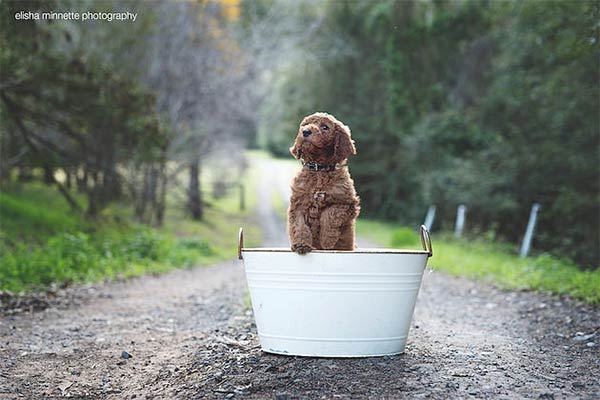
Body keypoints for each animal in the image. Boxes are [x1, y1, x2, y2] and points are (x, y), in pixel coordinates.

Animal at [288, 111, 360, 253]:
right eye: (304, 125)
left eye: (325, 127)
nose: (305, 131)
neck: (319, 169)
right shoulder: (297, 204)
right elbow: (299, 225)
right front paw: (301, 244)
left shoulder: (346, 202)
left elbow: (330, 214)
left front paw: (327, 240)